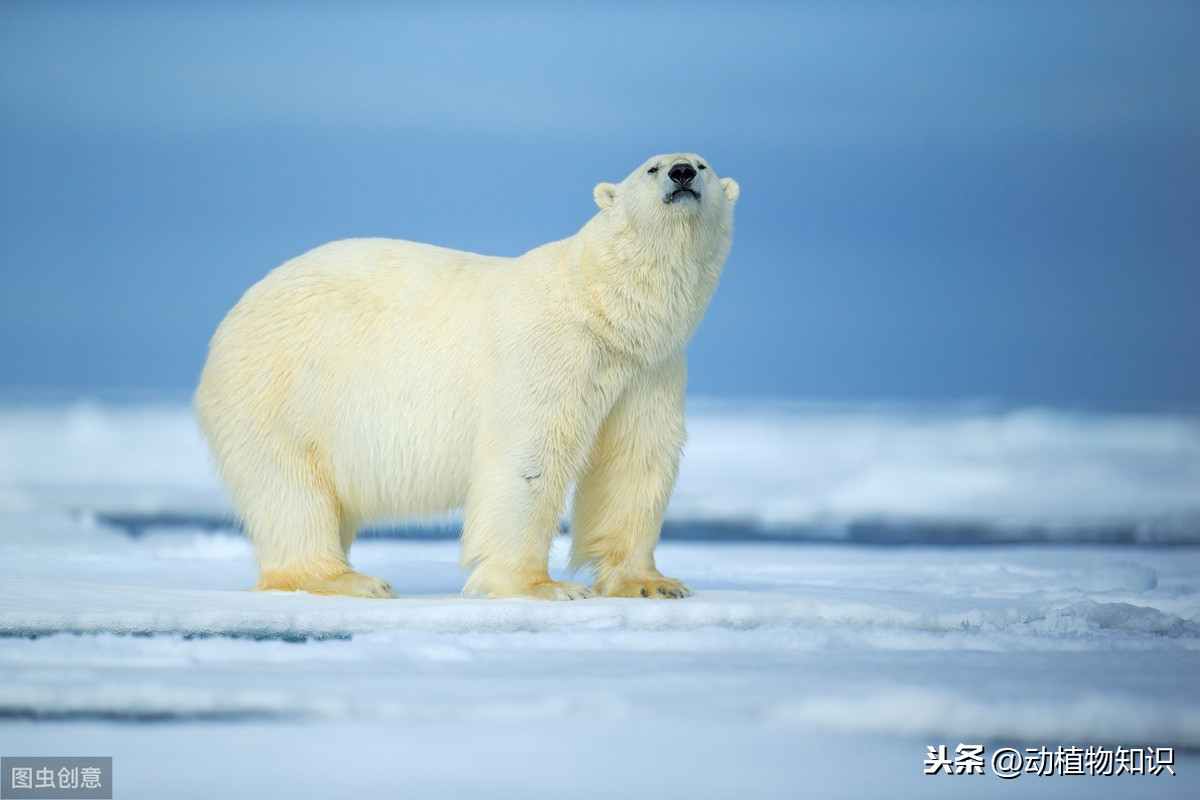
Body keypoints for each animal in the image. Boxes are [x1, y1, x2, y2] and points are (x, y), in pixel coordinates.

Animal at [195, 153, 734, 597]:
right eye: (652, 166)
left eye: (703, 164)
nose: (682, 173)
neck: (604, 305)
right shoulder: (547, 349)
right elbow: (529, 455)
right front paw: (542, 586)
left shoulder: (651, 370)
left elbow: (635, 460)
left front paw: (652, 584)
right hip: (280, 387)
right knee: (289, 490)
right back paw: (347, 579)